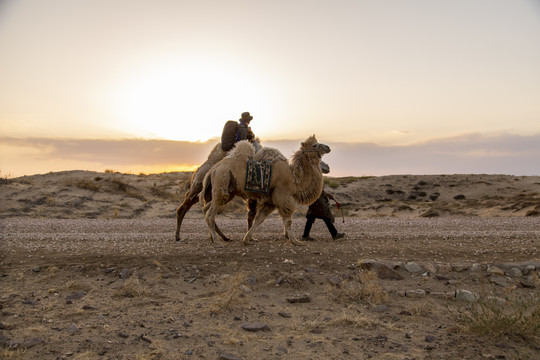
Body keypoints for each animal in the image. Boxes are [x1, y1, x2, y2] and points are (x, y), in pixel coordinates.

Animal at [200, 136, 332, 246]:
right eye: (314, 145)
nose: (328, 147)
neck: (294, 179)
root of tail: (213, 169)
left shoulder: (270, 201)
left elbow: (259, 219)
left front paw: (247, 239)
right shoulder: (283, 195)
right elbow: (288, 220)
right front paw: (295, 241)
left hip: (227, 191)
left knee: (206, 209)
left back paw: (215, 237)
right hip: (221, 182)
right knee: (210, 214)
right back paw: (217, 242)